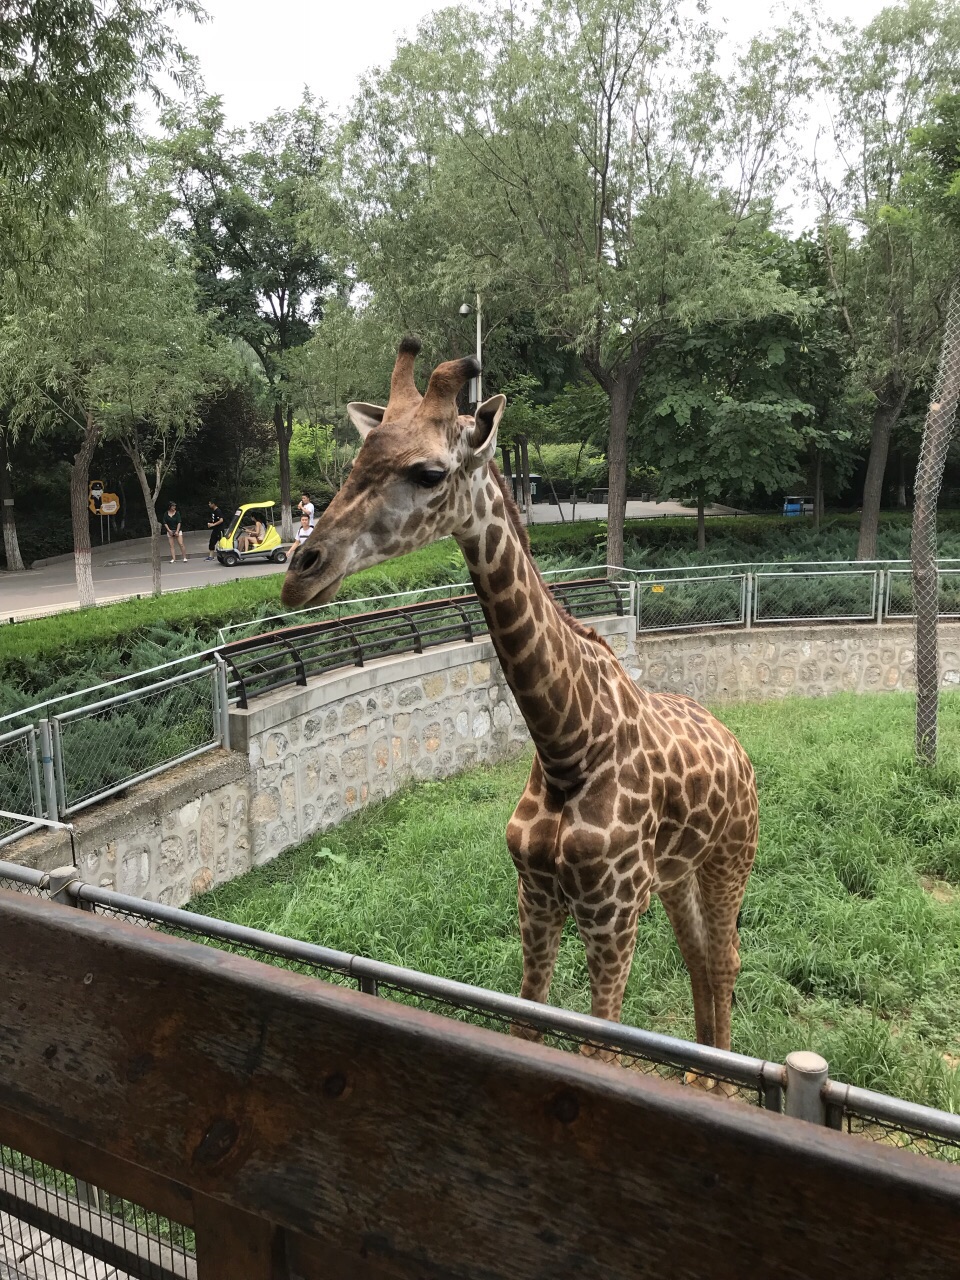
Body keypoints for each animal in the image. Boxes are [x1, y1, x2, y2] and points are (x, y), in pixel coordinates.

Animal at [281, 337, 762, 1049]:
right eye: (357, 461)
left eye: (429, 473)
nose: (301, 573)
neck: (568, 744)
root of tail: (738, 750)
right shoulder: (535, 898)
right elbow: (526, 1023)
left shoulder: (613, 913)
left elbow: (600, 1042)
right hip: (678, 873)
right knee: (699, 958)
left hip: (730, 857)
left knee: (726, 960)